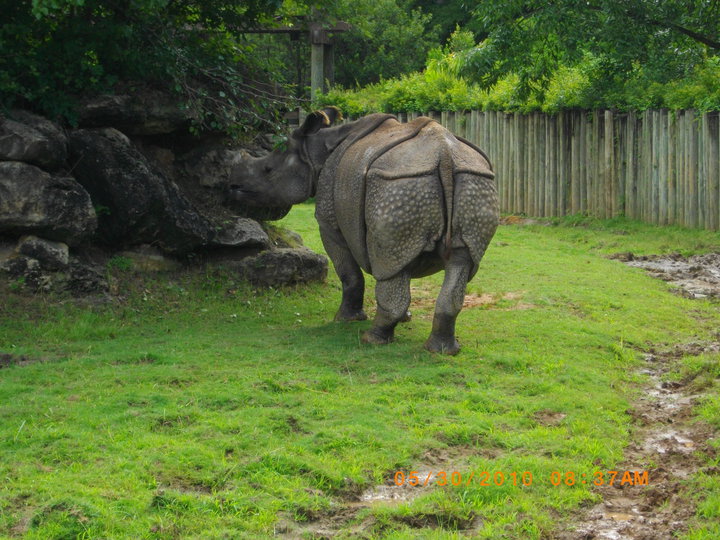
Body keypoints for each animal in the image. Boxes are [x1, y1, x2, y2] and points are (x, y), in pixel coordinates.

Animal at [228, 108, 498, 354]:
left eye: (267, 170)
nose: (233, 186)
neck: (315, 151)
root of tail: (445, 157)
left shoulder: (329, 224)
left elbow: (350, 274)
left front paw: (345, 319)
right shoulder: (401, 248)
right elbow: (399, 272)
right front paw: (406, 318)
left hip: (397, 185)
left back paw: (371, 339)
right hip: (471, 182)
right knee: (461, 260)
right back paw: (442, 350)